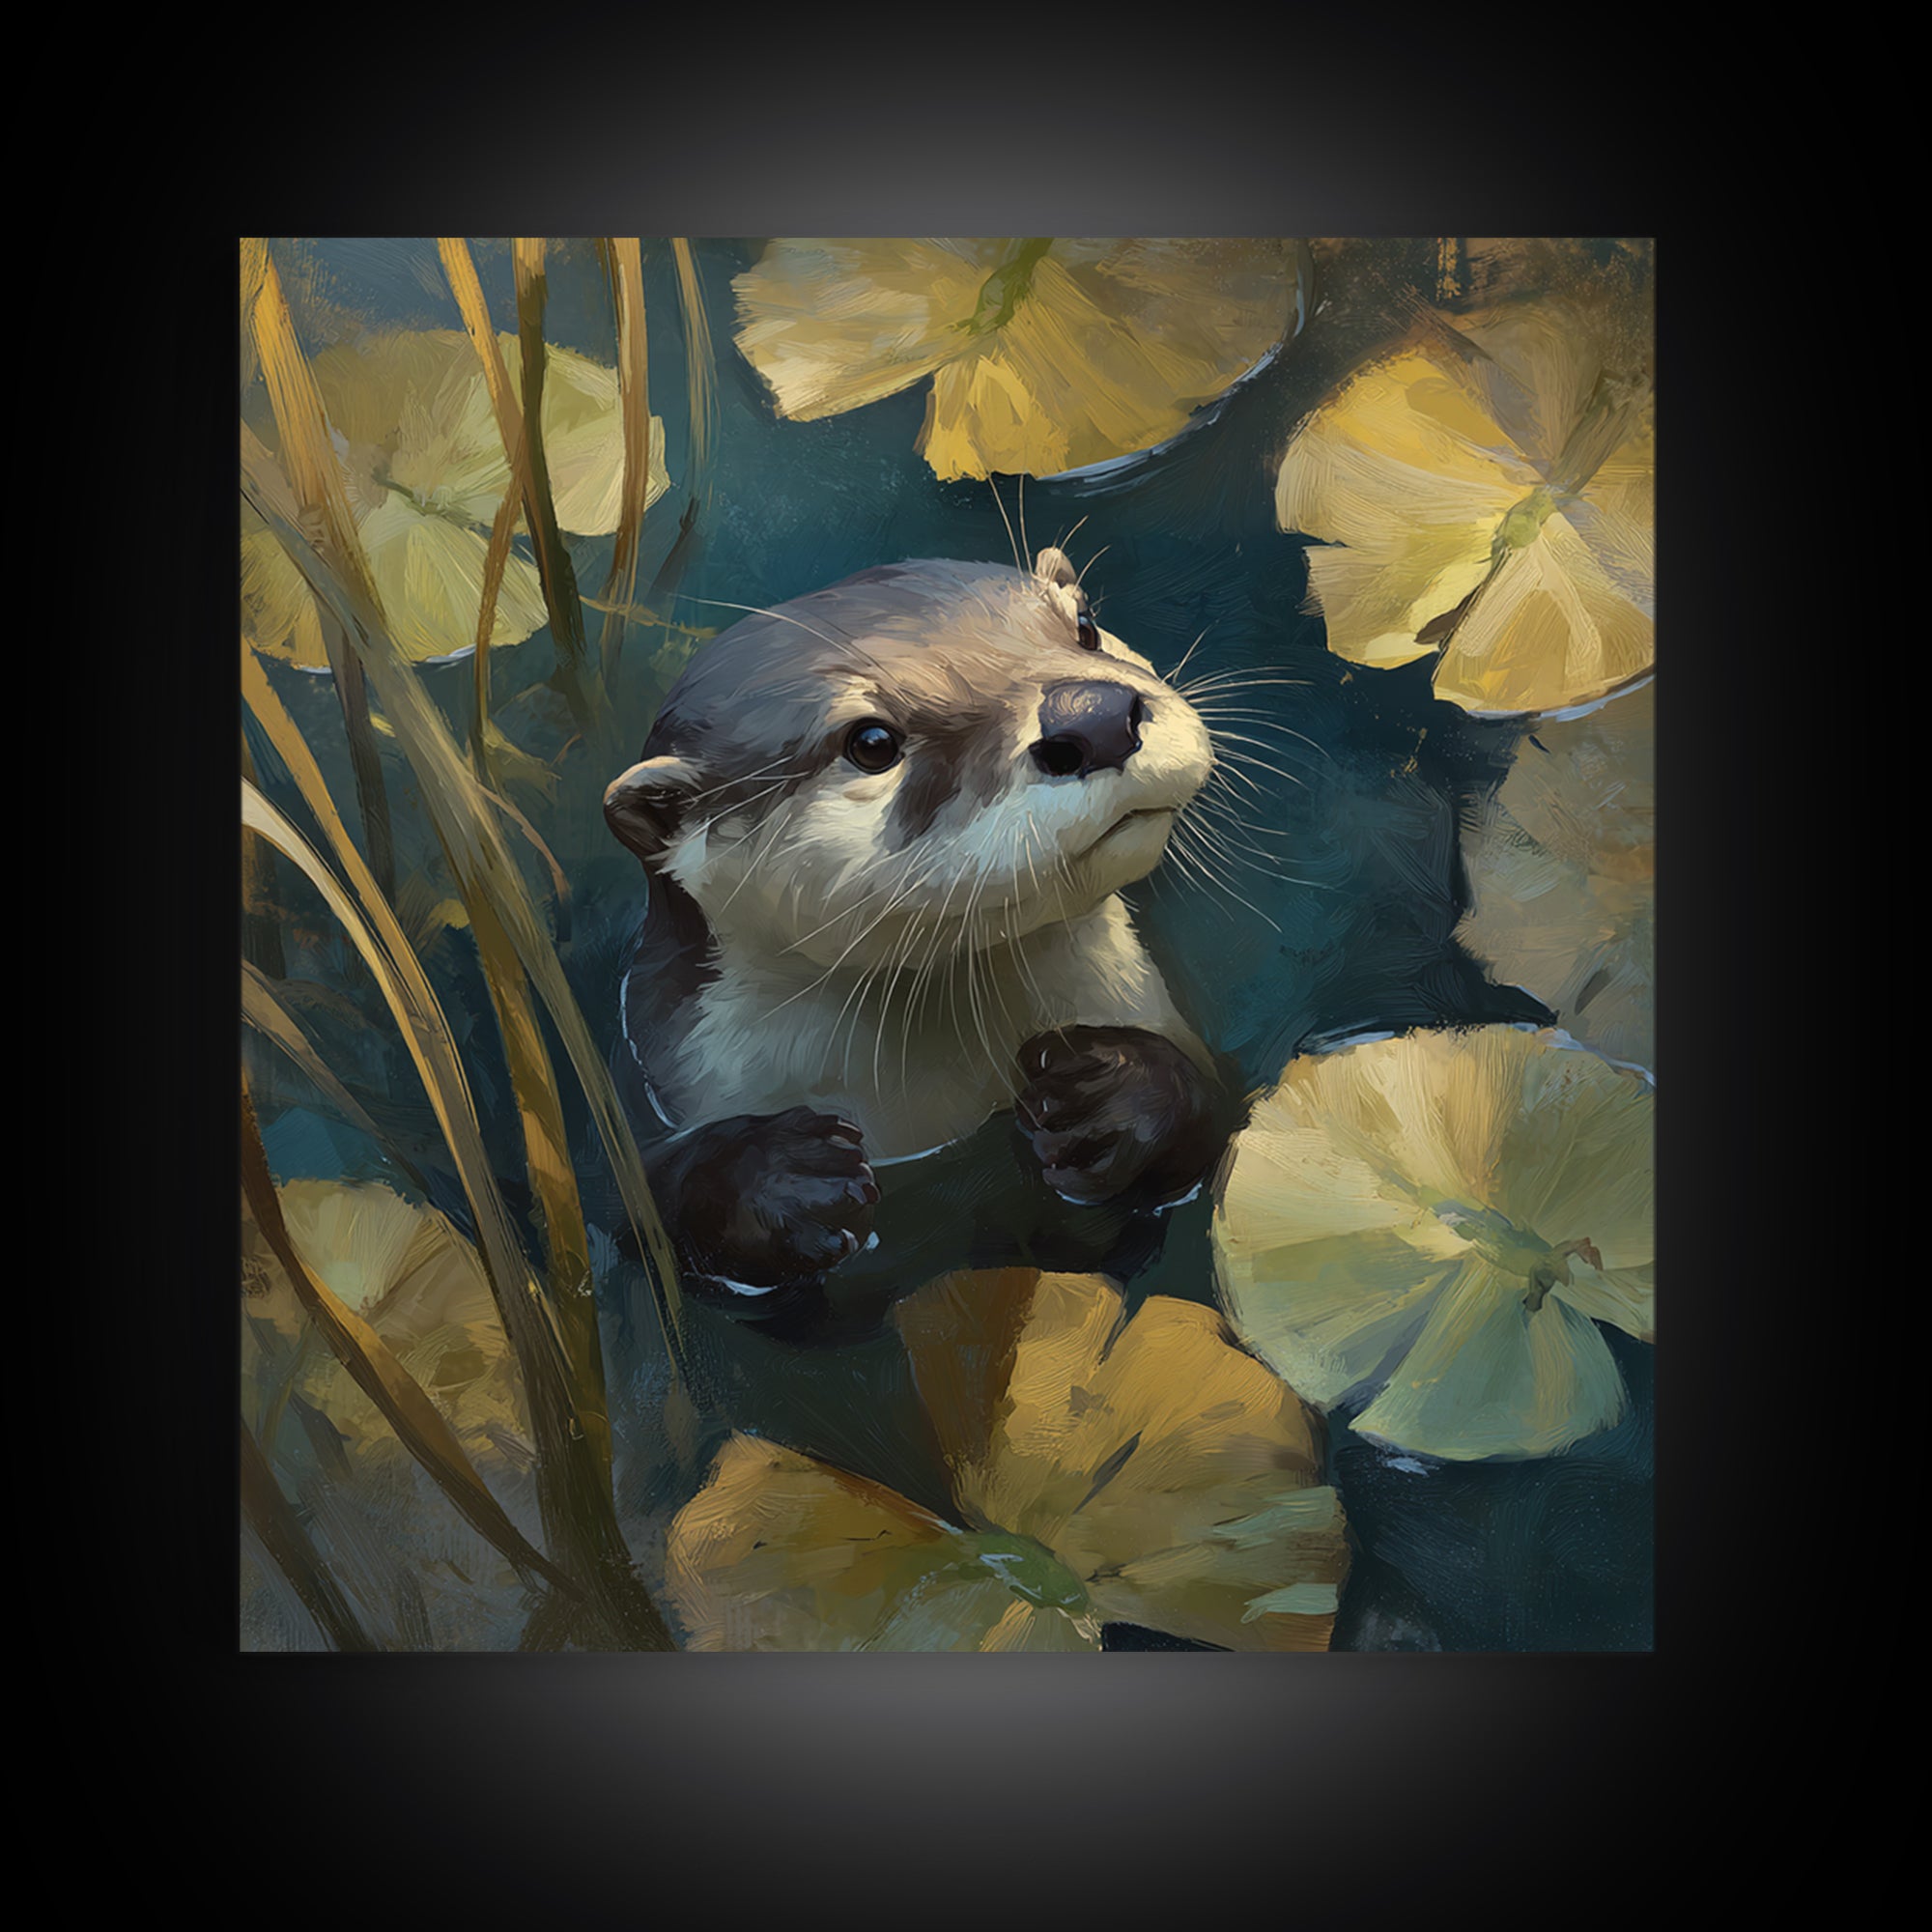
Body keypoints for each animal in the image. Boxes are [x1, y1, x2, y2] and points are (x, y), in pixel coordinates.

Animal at [602, 547, 1234, 1311]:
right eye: (871, 742)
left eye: (1084, 627)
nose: (1097, 716)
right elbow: (642, 1213)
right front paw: (777, 1180)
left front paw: (1117, 1097)